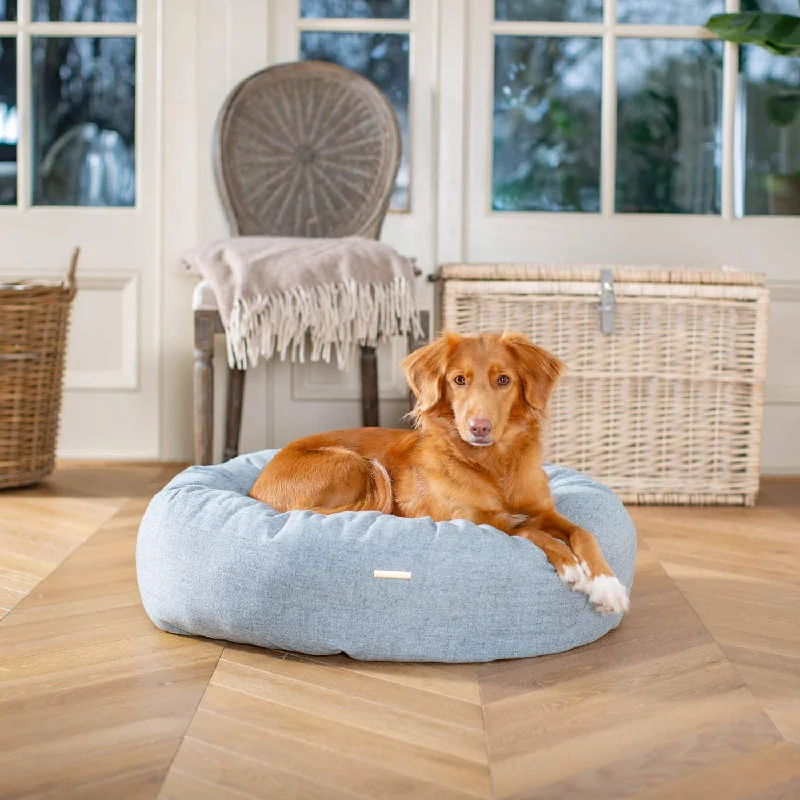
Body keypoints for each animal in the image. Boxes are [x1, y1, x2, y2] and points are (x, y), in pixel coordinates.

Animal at [250, 332, 632, 612]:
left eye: (503, 380)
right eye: (459, 380)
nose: (479, 427)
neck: (493, 465)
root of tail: (257, 486)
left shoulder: (543, 510)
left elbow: (582, 532)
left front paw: (607, 585)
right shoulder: (472, 520)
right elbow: (522, 529)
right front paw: (568, 563)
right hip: (353, 463)